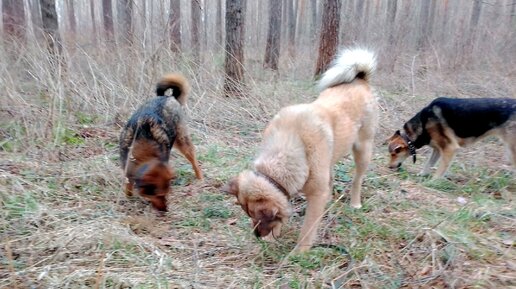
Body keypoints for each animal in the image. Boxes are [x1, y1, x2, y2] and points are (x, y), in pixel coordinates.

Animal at [120, 73, 203, 210]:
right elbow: (128, 187)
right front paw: (128, 198)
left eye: (166, 194)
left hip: (183, 142)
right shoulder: (127, 170)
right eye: (158, 195)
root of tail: (169, 97)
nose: (165, 210)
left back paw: (200, 177)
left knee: (194, 161)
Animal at [223, 48, 378, 251]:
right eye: (248, 215)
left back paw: (355, 203)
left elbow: (307, 229)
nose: (257, 236)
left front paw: (300, 252)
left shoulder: (314, 195)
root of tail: (360, 78)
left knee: (357, 180)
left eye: (261, 219)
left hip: (363, 150)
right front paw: (272, 240)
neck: (287, 148)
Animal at [388, 97, 516, 178]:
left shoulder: (449, 149)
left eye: (394, 154)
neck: (423, 124)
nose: (389, 167)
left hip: (511, 150)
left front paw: (433, 182)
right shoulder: (437, 150)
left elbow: (440, 170)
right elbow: (428, 164)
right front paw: (422, 175)